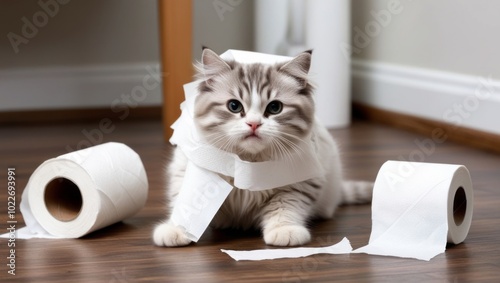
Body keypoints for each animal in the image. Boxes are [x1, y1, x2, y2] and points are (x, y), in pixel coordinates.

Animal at [154, 47, 374, 247]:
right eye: (234, 106)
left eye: (275, 108)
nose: (253, 124)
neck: (247, 161)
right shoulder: (186, 172)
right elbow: (185, 204)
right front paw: (176, 230)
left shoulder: (299, 184)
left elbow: (285, 208)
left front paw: (285, 231)